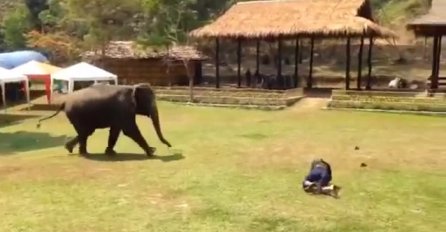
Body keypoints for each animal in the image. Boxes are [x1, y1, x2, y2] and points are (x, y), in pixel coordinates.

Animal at [37, 82, 171, 157]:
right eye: (150, 101)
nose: (170, 146)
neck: (133, 87)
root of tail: (64, 102)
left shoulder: (121, 112)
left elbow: (115, 130)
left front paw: (110, 152)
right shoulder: (124, 108)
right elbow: (129, 130)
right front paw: (152, 152)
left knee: (85, 133)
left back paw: (75, 150)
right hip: (76, 114)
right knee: (85, 132)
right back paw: (79, 152)